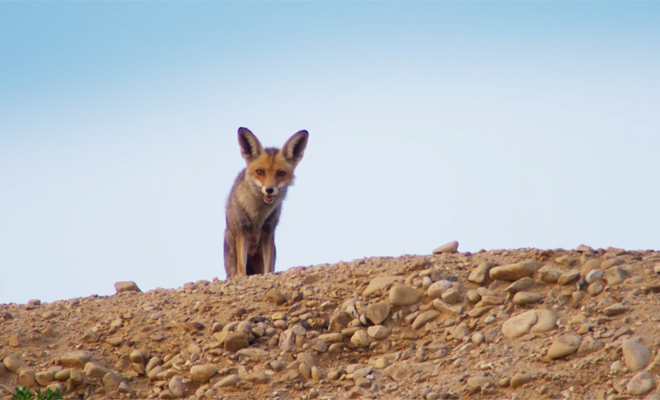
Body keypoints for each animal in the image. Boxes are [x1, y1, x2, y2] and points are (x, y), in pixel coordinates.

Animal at [224, 127, 310, 278]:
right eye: (260, 172)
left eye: (281, 173)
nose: (269, 190)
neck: (257, 215)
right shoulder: (242, 231)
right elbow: (242, 269)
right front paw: (243, 277)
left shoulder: (268, 232)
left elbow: (268, 268)